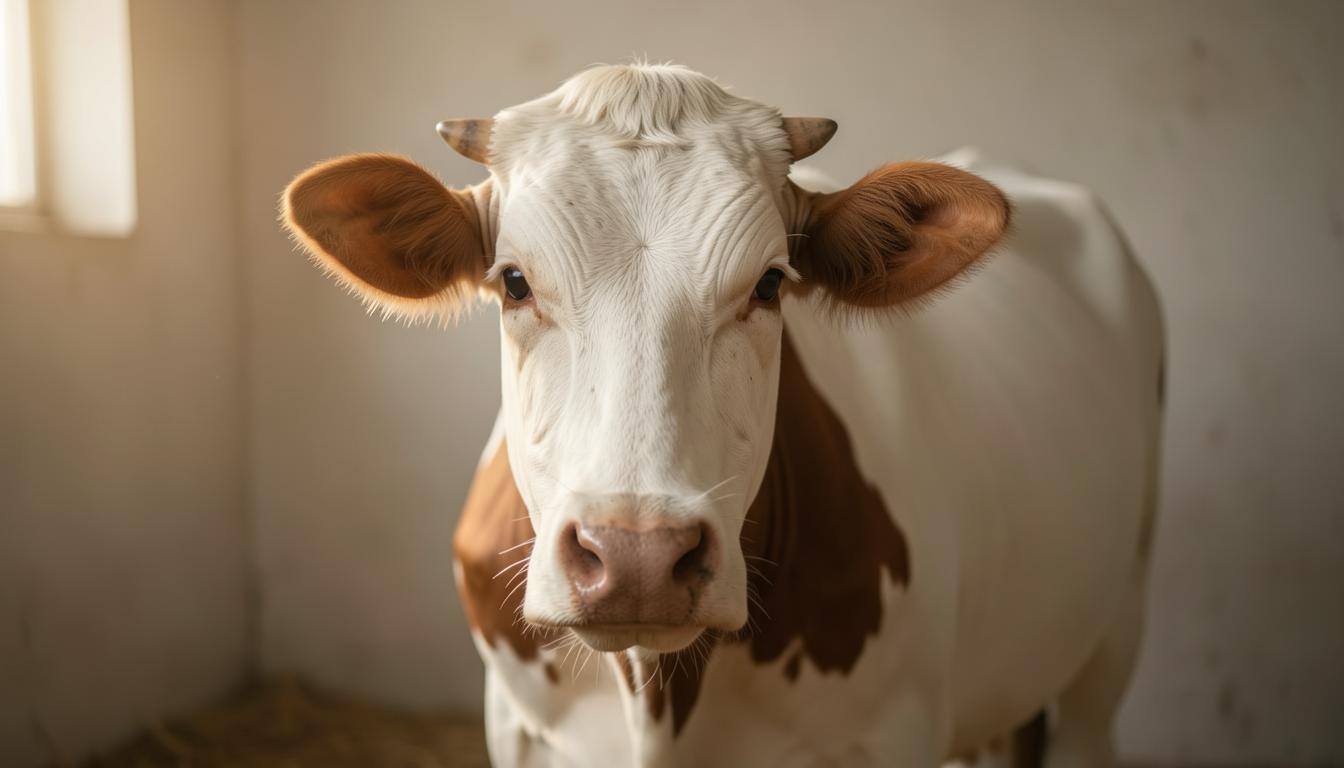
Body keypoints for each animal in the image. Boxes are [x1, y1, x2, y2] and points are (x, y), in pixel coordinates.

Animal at [281, 63, 1164, 768]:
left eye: (770, 283)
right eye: (514, 281)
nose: (637, 557)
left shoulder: (891, 730)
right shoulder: (517, 727)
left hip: (1114, 632)